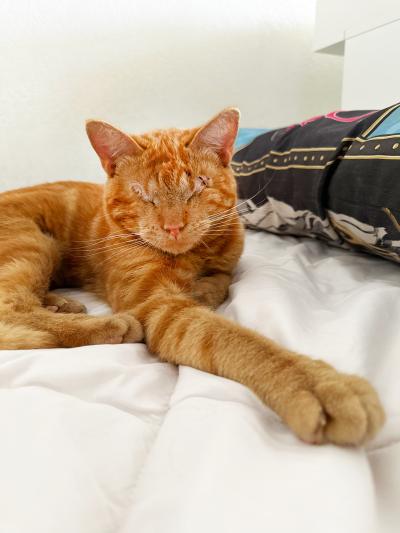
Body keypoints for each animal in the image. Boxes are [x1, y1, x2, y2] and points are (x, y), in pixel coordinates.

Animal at [0, 109, 382, 444]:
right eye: (142, 193)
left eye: (198, 186)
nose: (173, 226)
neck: (193, 255)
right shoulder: (159, 307)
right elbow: (234, 338)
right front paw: (317, 385)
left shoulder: (228, 263)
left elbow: (221, 279)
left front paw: (201, 289)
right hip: (31, 244)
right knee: (12, 312)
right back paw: (106, 325)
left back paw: (60, 302)